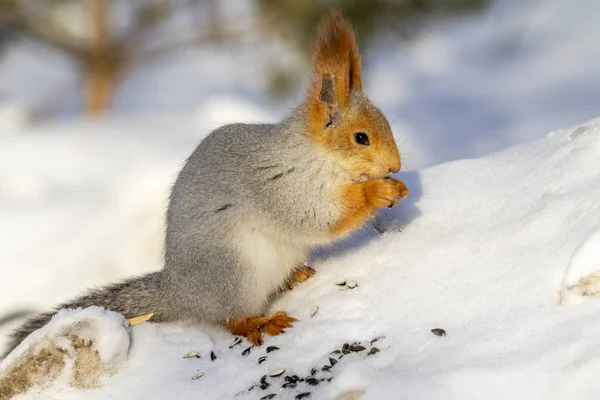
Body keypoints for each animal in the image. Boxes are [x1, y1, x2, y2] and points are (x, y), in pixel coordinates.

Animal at [3, 9, 408, 354]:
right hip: (234, 274)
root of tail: (178, 292)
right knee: (230, 319)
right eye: (360, 138)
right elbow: (318, 218)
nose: (397, 165)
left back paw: (294, 276)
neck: (315, 156)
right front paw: (379, 189)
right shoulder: (280, 186)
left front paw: (397, 187)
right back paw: (261, 323)